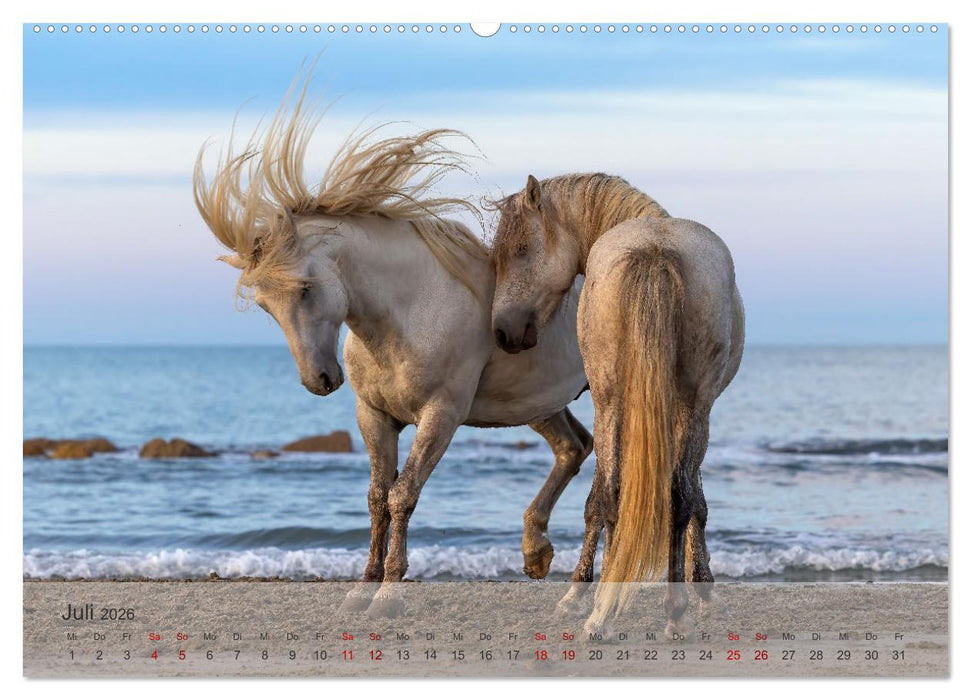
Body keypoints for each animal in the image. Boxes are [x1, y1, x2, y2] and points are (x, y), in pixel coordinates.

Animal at [193, 84, 591, 616]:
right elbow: (376, 498)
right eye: (263, 305)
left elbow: (403, 494)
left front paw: (389, 590)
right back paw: (536, 554)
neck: (411, 311)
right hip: (538, 403)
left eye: (305, 288)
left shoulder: (440, 416)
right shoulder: (374, 416)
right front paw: (363, 587)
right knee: (574, 447)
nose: (320, 380)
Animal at [490, 173, 744, 637]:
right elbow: (693, 501)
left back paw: (604, 609)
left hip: (615, 402)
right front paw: (704, 592)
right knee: (671, 497)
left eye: (520, 250)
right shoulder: (689, 409)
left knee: (614, 497)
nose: (502, 331)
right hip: (680, 407)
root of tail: (656, 250)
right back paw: (670, 612)